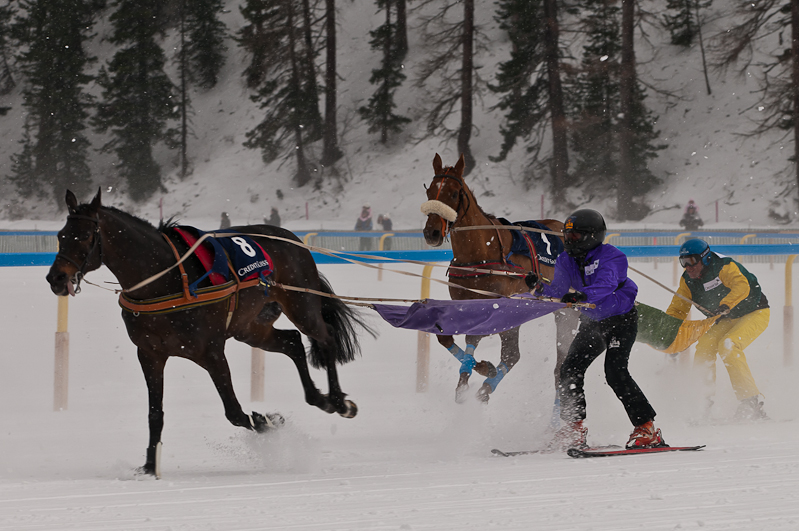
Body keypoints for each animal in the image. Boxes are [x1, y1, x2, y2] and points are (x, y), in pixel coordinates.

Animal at [48, 190, 374, 478]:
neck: (168, 278)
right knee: (292, 342)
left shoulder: (211, 351)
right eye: (62, 235)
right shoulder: (150, 354)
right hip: (250, 327)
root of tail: (293, 239)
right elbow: (155, 414)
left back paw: (338, 401)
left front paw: (268, 421)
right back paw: (318, 397)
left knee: (325, 337)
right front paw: (150, 467)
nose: (56, 278)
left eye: (85, 236)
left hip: (301, 304)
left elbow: (235, 412)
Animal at [422, 156, 580, 406]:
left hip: (566, 311)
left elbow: (477, 337)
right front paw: (467, 381)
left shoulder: (500, 307)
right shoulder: (464, 304)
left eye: (454, 193)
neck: (479, 255)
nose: (432, 233)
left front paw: (483, 371)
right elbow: (446, 338)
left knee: (540, 359)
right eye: (430, 191)